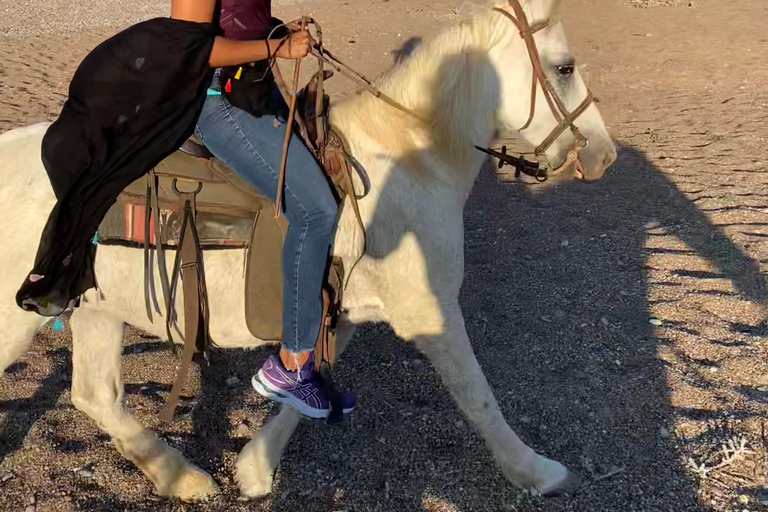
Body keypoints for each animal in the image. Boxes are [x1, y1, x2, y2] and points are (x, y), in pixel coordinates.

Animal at [0, 0, 616, 502]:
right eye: (564, 67)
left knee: (96, 394)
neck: (411, 158)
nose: (604, 155)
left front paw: (254, 468)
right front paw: (536, 471)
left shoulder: (339, 307)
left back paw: (183, 477)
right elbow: (478, 396)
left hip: (96, 308)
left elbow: (302, 384)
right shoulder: (429, 310)